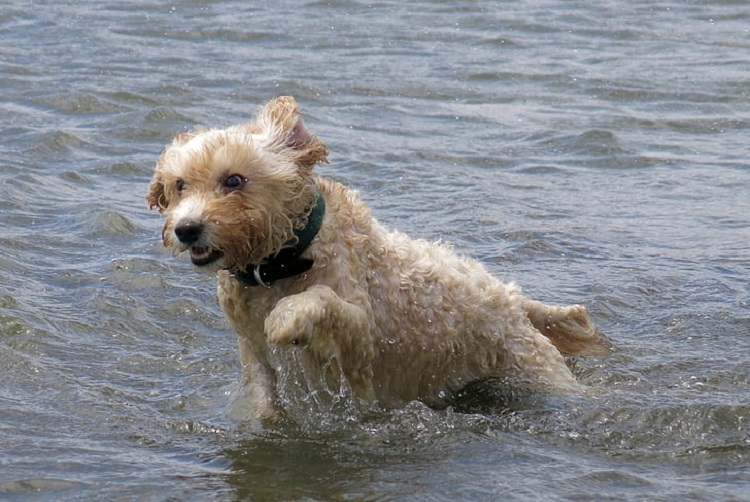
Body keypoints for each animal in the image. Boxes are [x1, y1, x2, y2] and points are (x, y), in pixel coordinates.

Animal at [147, 96, 612, 422]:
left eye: (234, 180)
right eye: (180, 184)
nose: (186, 229)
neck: (282, 261)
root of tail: (510, 296)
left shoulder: (366, 342)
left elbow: (322, 300)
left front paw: (289, 317)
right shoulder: (249, 343)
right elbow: (263, 388)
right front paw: (266, 418)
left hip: (538, 370)